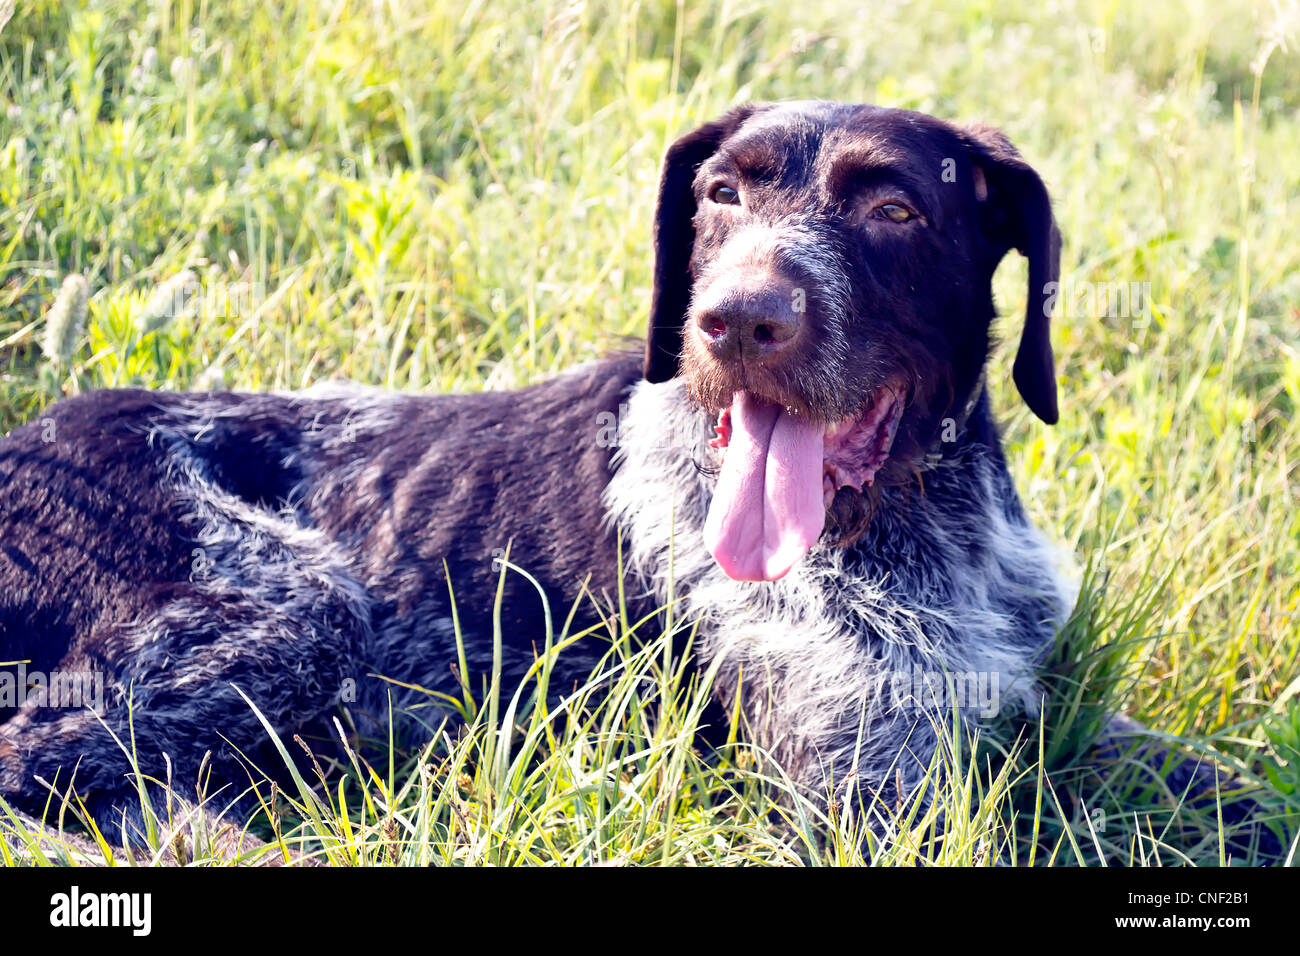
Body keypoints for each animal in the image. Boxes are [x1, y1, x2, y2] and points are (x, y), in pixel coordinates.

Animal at [0, 102, 1274, 853]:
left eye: (894, 207)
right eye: (720, 194)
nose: (736, 320)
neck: (912, 526)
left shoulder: (1048, 709)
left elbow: (1231, 790)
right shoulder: (865, 800)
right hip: (287, 607)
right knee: (41, 768)